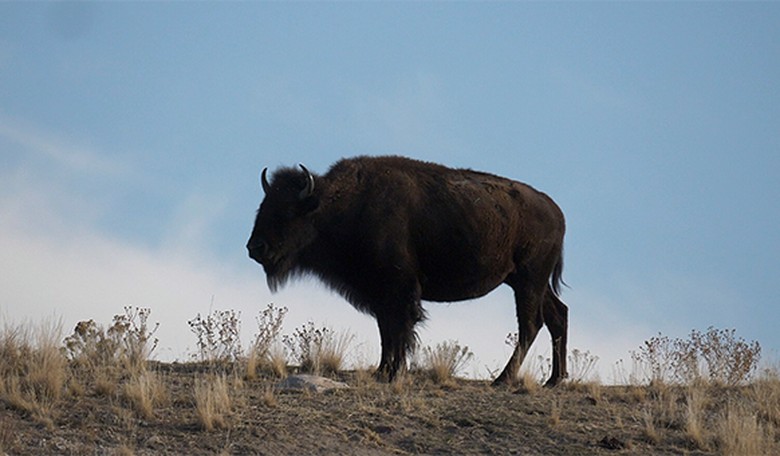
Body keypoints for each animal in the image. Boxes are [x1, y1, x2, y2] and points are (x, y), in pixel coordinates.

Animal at [247, 156, 568, 386]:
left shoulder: (399, 288)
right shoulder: (380, 293)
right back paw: (554, 380)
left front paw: (393, 373)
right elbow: (386, 330)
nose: (255, 247)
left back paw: (503, 380)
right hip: (527, 282)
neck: (341, 205)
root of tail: (556, 211)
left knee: (530, 324)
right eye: (263, 205)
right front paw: (382, 371)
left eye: (288, 211)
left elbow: (400, 328)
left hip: (529, 280)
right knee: (558, 315)